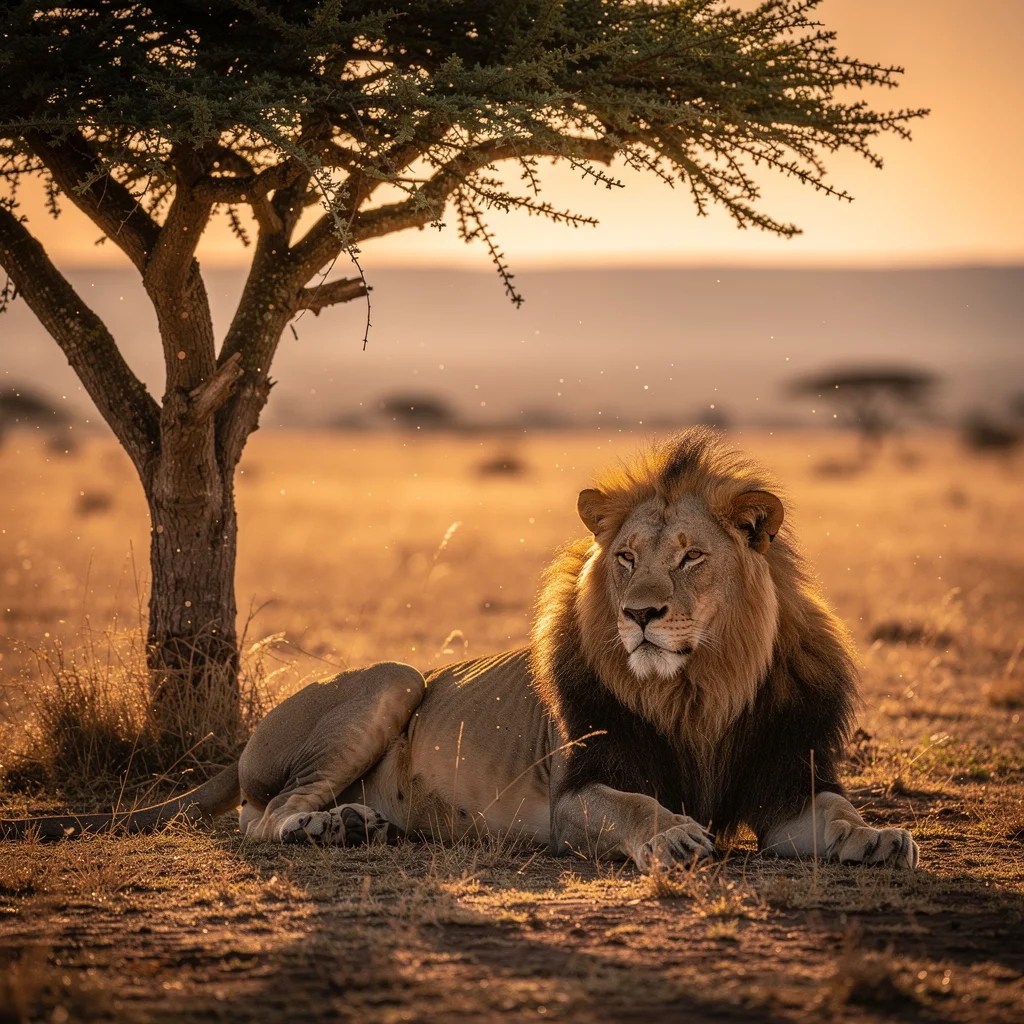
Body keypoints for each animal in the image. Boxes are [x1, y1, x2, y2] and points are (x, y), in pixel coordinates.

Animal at [1, 428, 918, 870]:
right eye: (625, 558)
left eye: (692, 556)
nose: (641, 615)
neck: (700, 689)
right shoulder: (576, 793)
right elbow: (633, 807)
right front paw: (675, 837)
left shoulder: (787, 778)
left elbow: (834, 815)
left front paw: (882, 839)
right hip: (394, 679)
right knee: (260, 819)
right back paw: (333, 827)